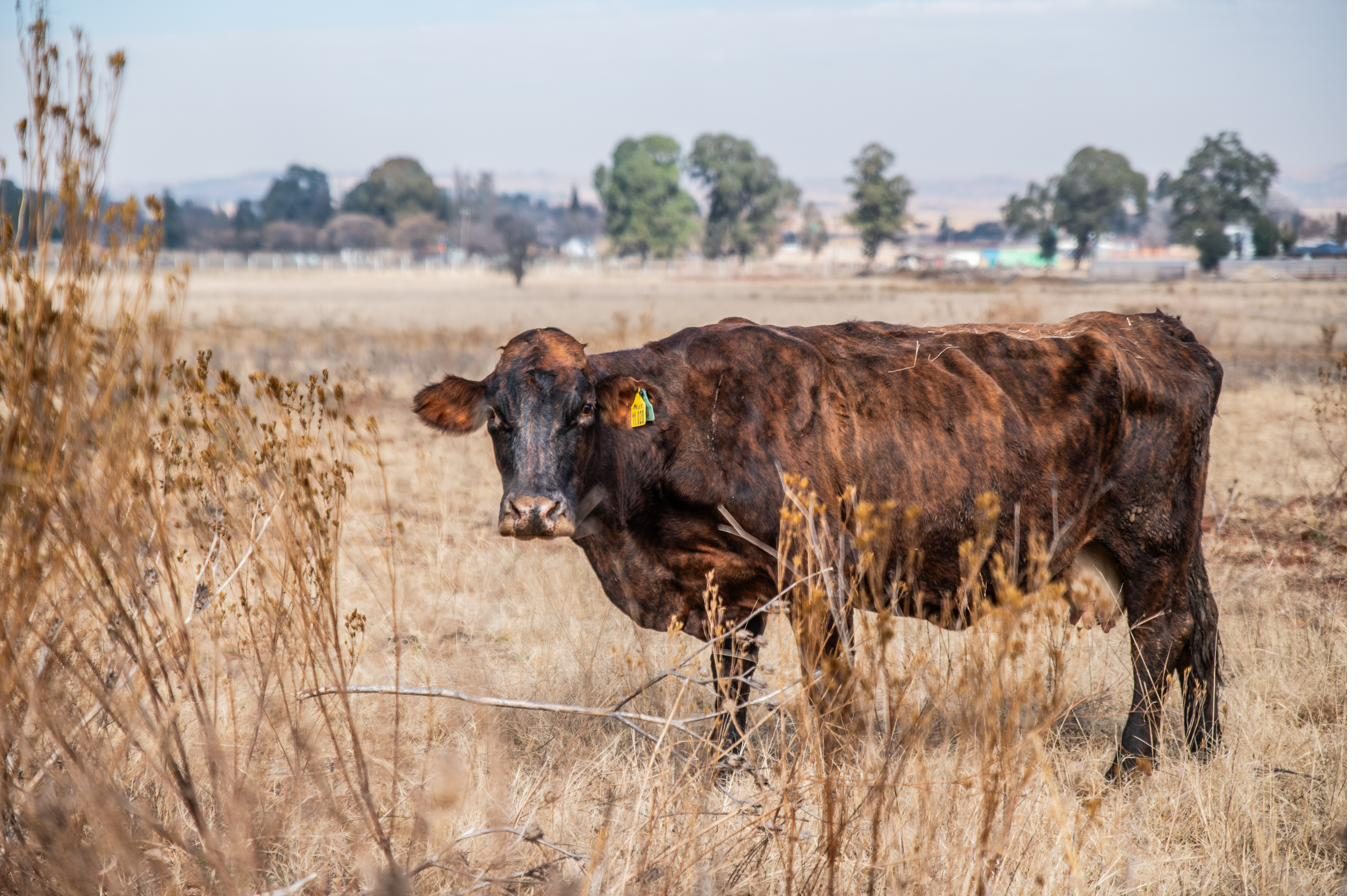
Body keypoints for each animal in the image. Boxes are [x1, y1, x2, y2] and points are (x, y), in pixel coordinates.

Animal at [413, 311, 1223, 780]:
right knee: (1203, 627)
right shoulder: (729, 586)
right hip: (1170, 546)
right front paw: (726, 771)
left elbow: (829, 686)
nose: (532, 509)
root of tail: (1154, 326)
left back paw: (1131, 765)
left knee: (1159, 638)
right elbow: (731, 682)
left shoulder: (820, 574)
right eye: (498, 417)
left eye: (582, 412)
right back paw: (1208, 748)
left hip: (1150, 538)